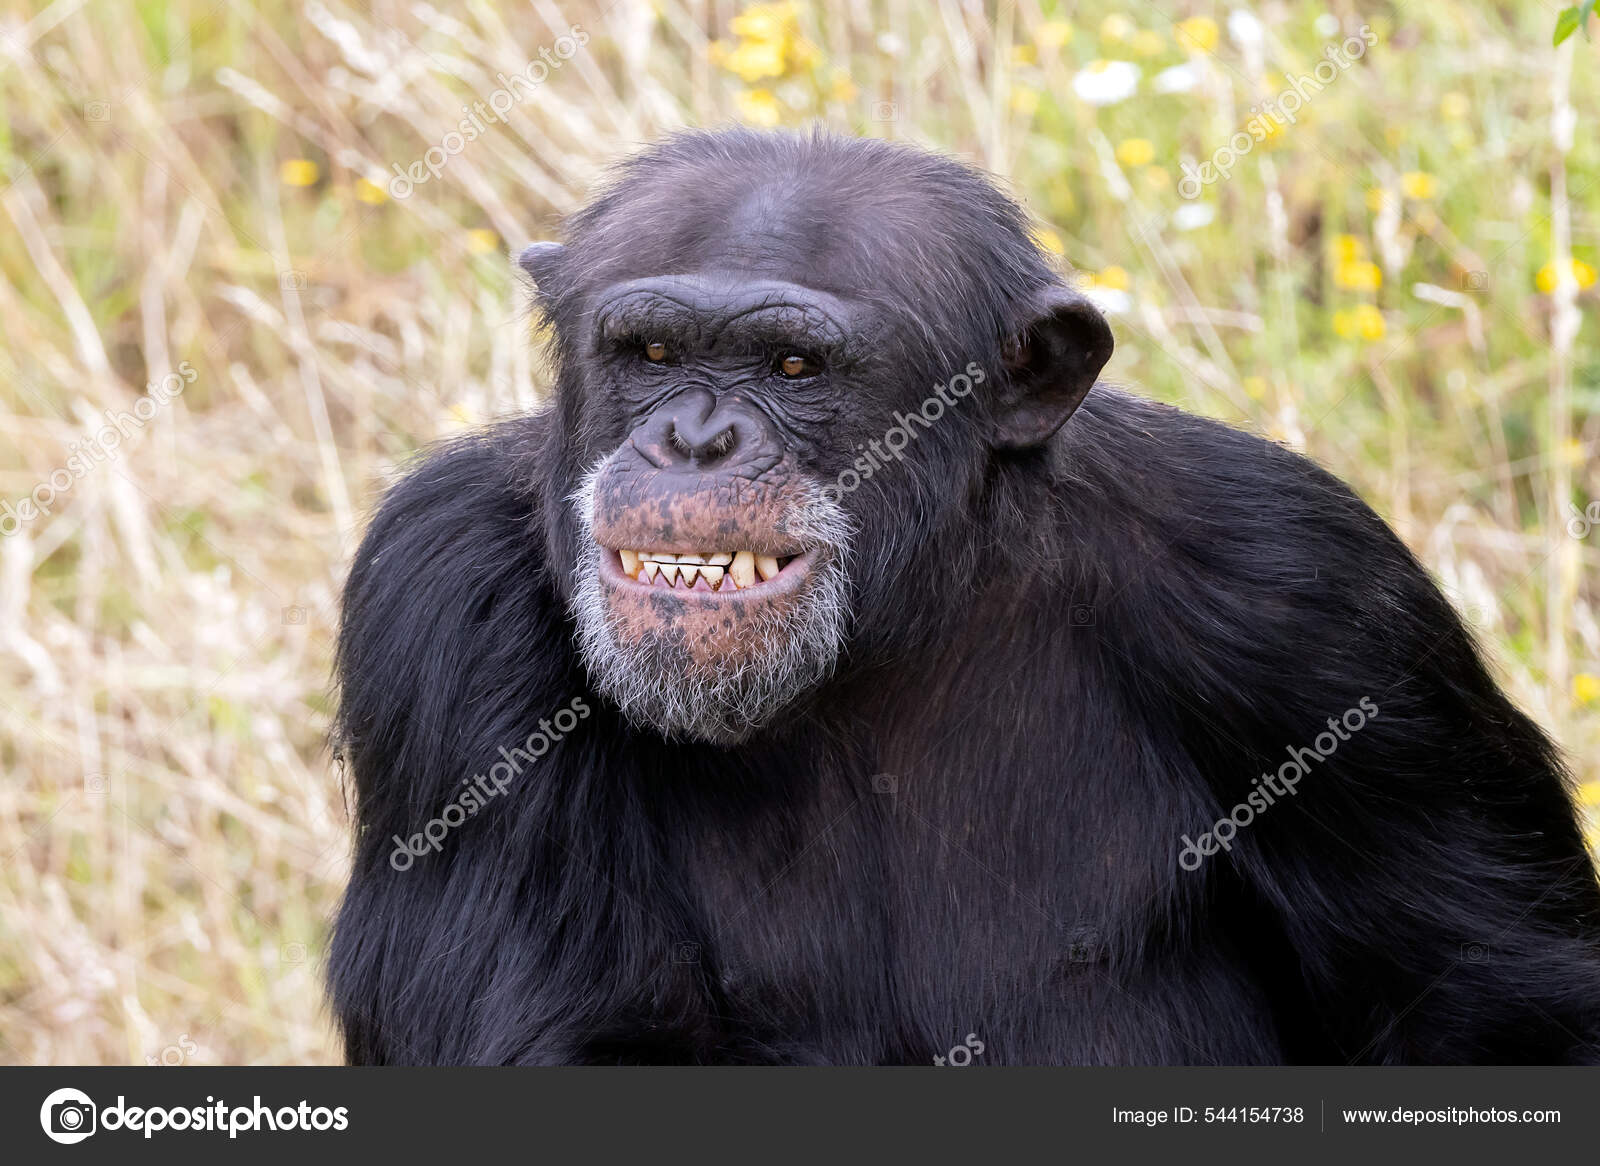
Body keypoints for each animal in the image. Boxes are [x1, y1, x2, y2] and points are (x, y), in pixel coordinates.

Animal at [328, 129, 1600, 1062]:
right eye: (647, 352)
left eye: (793, 365)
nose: (694, 440)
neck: (885, 626)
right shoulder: (438, 601)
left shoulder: (1307, 594)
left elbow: (1502, 998)